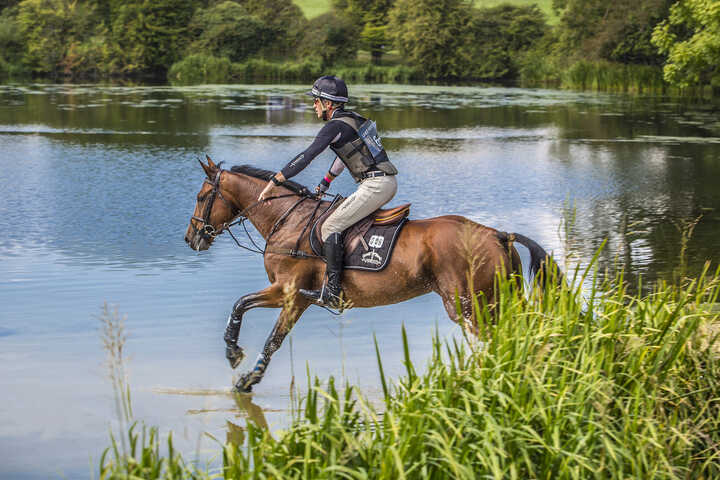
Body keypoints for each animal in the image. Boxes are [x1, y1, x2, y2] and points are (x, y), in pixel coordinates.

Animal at [184, 158, 556, 394]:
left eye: (201, 197)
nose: (191, 238)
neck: (287, 219)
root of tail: (499, 234)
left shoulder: (286, 291)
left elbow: (250, 315)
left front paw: (238, 362)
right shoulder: (297, 299)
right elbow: (263, 326)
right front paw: (244, 369)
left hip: (469, 305)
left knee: (505, 337)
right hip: (497, 299)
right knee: (521, 331)